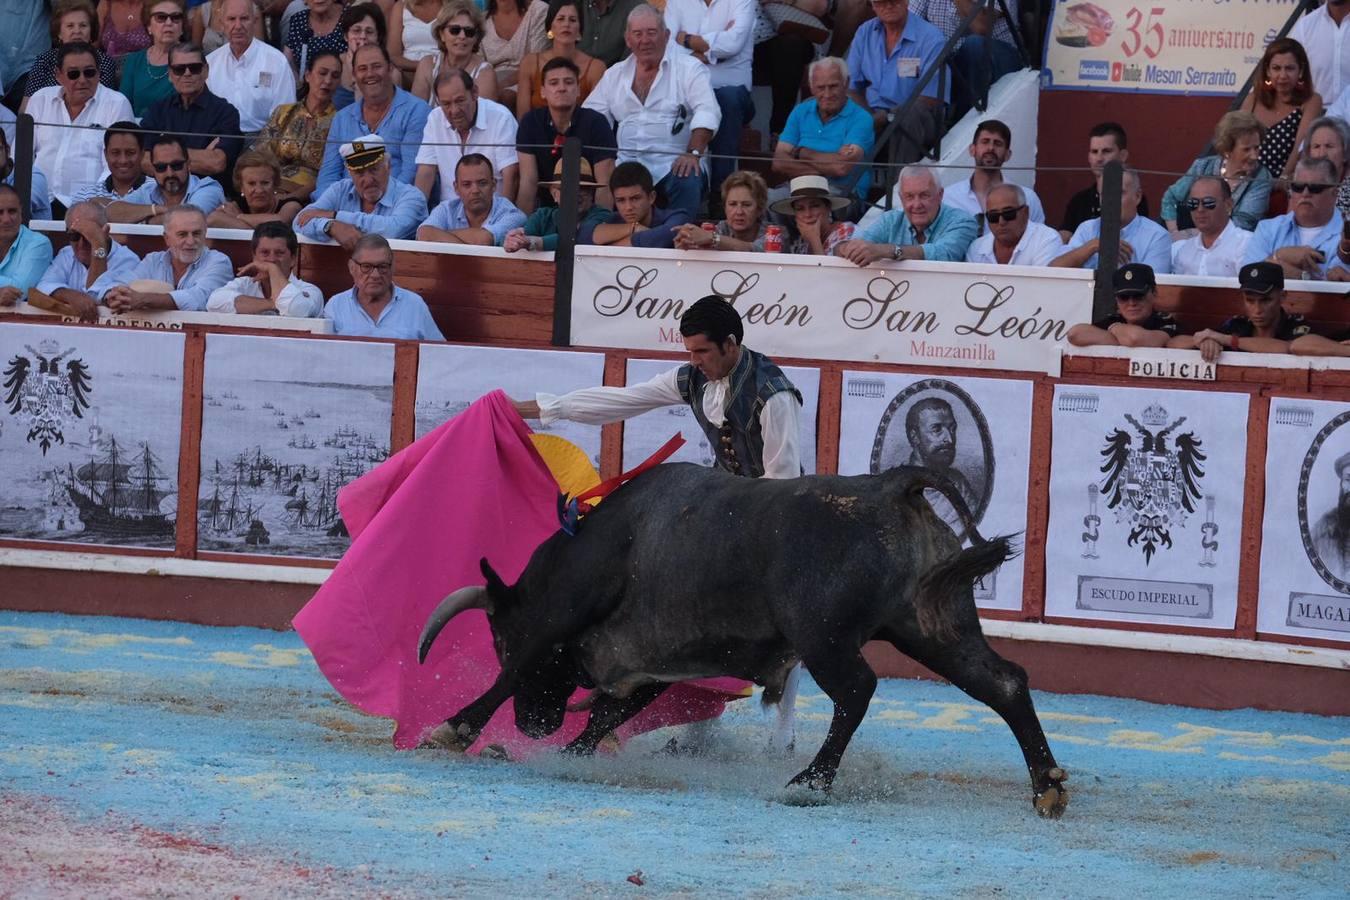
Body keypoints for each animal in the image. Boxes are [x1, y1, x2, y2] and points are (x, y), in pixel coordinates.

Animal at [415, 461, 1069, 820]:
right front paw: (569, 754)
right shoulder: (650, 664)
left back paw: (811, 782)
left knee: (857, 689)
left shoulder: (562, 618)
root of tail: (891, 485)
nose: (533, 727)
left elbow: (517, 676)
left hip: (823, 636)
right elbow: (608, 712)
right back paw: (1046, 787)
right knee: (1003, 683)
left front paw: (452, 730)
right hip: (934, 627)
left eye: (499, 637)